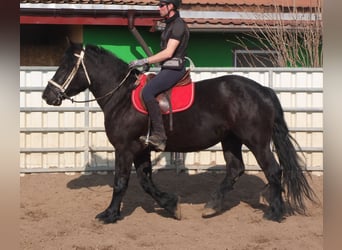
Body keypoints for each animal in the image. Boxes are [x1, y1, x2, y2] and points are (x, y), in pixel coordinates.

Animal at [42, 42, 316, 223]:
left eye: (66, 66)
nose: (47, 96)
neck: (122, 97)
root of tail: (263, 90)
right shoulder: (141, 149)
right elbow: (146, 182)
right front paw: (171, 206)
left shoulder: (125, 148)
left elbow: (121, 181)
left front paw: (109, 214)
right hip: (231, 140)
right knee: (235, 169)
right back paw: (212, 206)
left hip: (256, 141)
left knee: (273, 170)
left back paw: (275, 212)